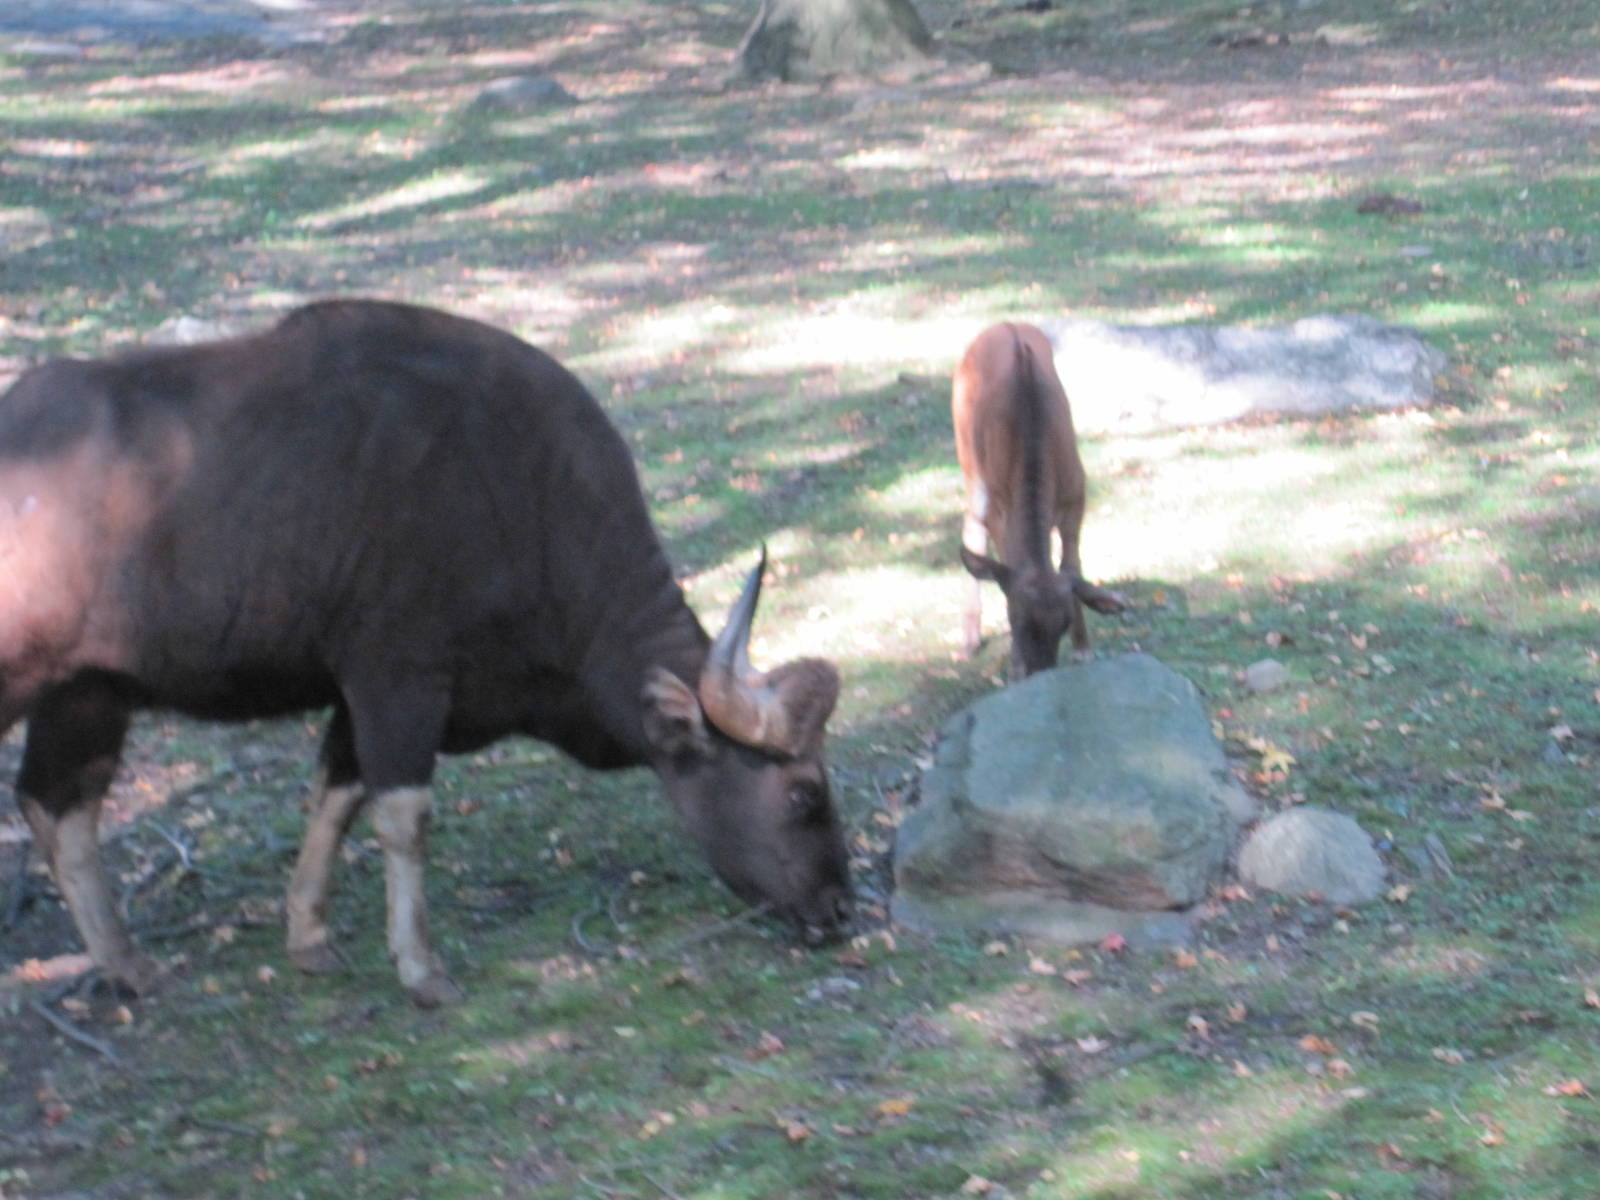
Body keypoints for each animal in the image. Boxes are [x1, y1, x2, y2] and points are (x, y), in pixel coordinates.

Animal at [0, 299, 851, 1007]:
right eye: (803, 795)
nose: (839, 907)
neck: (525, 494)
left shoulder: (357, 697)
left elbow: (336, 798)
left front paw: (308, 937)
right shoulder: (398, 681)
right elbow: (404, 818)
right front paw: (421, 967)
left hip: (87, 692)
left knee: (57, 804)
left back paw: (127, 963)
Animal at [951, 321, 1124, 679]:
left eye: (1065, 623)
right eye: (1014, 619)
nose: (1038, 671)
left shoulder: (1076, 494)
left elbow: (1071, 566)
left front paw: (1084, 648)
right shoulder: (1000, 508)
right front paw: (1014, 665)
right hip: (969, 462)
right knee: (972, 525)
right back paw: (968, 640)